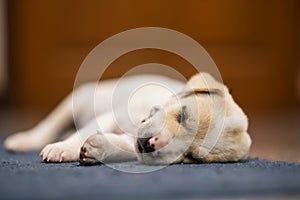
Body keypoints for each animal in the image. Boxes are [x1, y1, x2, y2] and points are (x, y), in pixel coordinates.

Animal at [4, 72, 251, 165]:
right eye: (182, 116)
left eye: (192, 157)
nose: (151, 144)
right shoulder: (111, 116)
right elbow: (83, 132)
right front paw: (63, 148)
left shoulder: (132, 144)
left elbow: (121, 146)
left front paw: (98, 149)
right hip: (80, 98)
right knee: (51, 124)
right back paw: (25, 140)